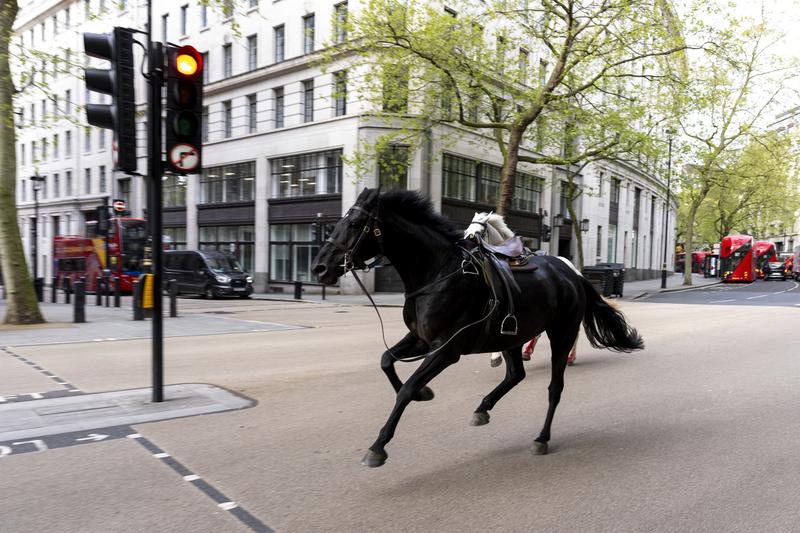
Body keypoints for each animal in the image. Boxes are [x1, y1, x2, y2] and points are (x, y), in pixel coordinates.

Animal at [312, 187, 644, 466]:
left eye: (355, 223)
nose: (319, 267)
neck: (438, 274)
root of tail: (572, 273)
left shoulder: (446, 350)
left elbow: (406, 389)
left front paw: (378, 446)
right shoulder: (420, 339)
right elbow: (386, 362)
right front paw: (424, 393)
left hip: (561, 333)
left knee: (554, 388)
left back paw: (541, 438)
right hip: (513, 335)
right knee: (515, 374)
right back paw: (483, 408)